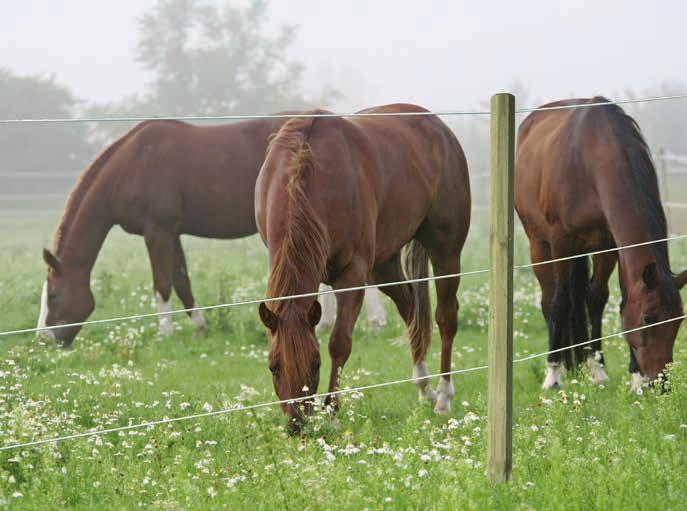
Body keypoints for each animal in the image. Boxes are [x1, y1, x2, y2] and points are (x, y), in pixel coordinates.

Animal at [37, 116, 388, 348]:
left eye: (54, 295)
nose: (44, 338)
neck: (133, 164)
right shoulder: (171, 233)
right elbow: (182, 281)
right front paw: (199, 327)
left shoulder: (157, 231)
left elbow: (162, 284)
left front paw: (165, 333)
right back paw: (326, 321)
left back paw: (375, 322)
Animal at [255, 104, 470, 432]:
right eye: (272, 367)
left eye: (315, 365)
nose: (296, 425)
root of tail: (439, 127)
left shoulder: (352, 276)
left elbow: (339, 343)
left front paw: (332, 413)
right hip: (383, 266)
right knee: (411, 308)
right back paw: (424, 387)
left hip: (446, 251)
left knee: (445, 317)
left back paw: (444, 396)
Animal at [516, 97, 687, 392]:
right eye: (648, 318)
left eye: (679, 320)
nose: (661, 384)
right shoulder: (561, 242)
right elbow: (560, 303)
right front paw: (553, 375)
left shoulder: (610, 245)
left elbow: (602, 299)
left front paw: (619, 374)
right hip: (539, 243)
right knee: (549, 300)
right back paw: (558, 367)